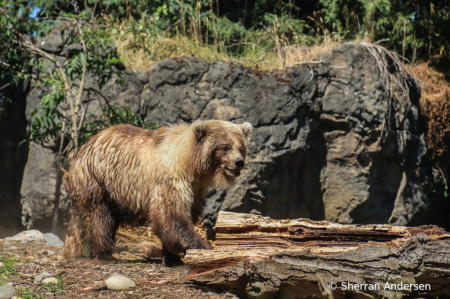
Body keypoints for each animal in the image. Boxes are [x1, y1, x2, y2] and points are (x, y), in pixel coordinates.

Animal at [62, 120, 253, 266]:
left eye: (241, 147)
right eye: (225, 147)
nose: (239, 162)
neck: (191, 164)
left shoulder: (195, 189)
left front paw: (171, 257)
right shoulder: (170, 181)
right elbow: (172, 217)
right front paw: (205, 248)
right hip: (99, 180)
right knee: (100, 218)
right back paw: (104, 254)